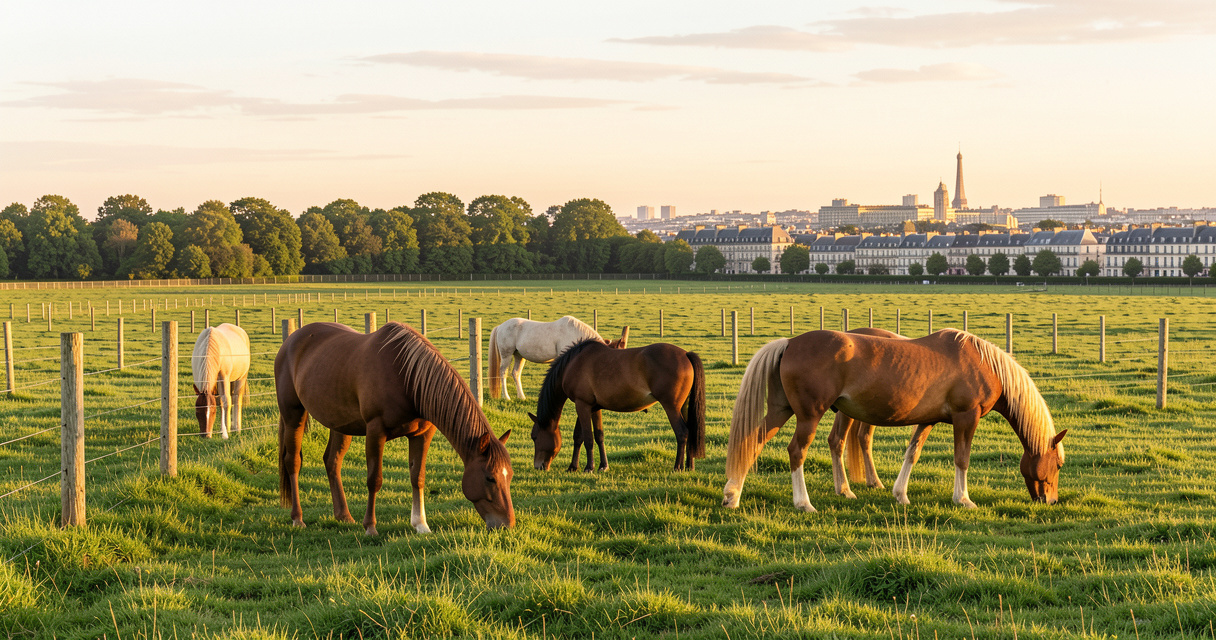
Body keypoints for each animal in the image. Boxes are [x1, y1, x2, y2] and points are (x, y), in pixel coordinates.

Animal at [276, 322, 514, 535]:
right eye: (490, 478)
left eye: (510, 476)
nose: (507, 524)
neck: (408, 378)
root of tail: (291, 341)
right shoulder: (375, 432)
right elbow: (374, 479)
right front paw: (370, 527)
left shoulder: (422, 434)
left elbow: (418, 476)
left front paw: (421, 525)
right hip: (293, 415)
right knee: (293, 461)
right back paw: (298, 518)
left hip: (339, 424)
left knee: (332, 461)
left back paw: (344, 516)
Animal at [488, 316, 629, 400]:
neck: (575, 333)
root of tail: (500, 326)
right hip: (506, 355)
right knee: (503, 373)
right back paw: (506, 397)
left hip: (519, 356)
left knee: (515, 373)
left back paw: (521, 396)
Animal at [529, 339, 705, 472]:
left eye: (534, 437)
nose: (538, 466)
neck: (574, 363)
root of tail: (685, 354)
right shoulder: (593, 408)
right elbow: (593, 436)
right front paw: (597, 466)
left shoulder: (582, 405)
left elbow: (587, 438)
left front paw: (588, 467)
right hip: (684, 407)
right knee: (690, 430)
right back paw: (689, 466)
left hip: (671, 407)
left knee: (682, 433)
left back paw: (677, 467)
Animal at [722, 329, 1066, 512]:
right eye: (1059, 465)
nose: (1051, 501)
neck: (984, 363)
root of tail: (791, 343)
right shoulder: (965, 418)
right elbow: (962, 459)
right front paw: (963, 499)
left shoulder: (928, 421)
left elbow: (912, 453)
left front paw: (900, 495)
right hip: (809, 415)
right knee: (796, 452)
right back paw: (803, 503)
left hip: (782, 410)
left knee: (753, 442)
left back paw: (732, 496)